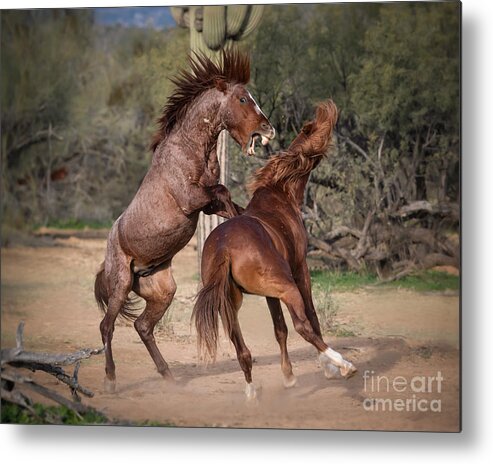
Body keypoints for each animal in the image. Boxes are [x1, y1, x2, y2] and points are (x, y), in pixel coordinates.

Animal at [94, 50, 274, 392]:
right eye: (243, 99)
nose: (268, 130)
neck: (191, 148)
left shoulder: (207, 207)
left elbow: (231, 202)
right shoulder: (192, 200)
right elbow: (223, 190)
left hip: (163, 290)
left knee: (142, 326)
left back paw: (169, 376)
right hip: (120, 284)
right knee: (107, 326)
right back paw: (110, 379)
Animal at [190, 98, 356, 398]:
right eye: (314, 130)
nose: (327, 109)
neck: (279, 196)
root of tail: (224, 248)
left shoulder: (270, 293)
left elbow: (279, 329)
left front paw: (289, 376)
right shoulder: (300, 270)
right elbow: (311, 318)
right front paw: (326, 368)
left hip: (230, 304)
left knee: (242, 349)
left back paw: (252, 393)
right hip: (285, 287)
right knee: (303, 325)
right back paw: (344, 365)